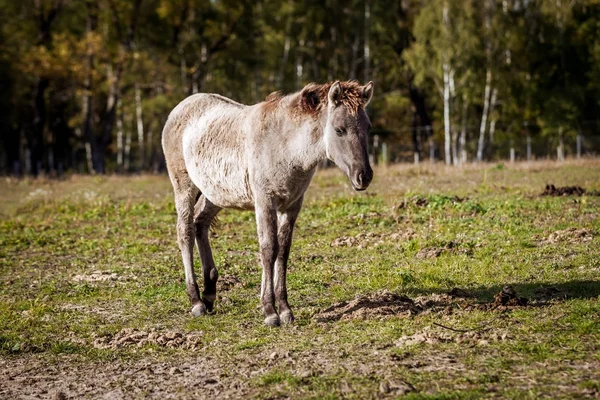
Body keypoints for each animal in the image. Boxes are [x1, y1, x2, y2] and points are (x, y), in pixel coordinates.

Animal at [162, 79, 372, 326]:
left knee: (199, 223)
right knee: (184, 231)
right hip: (184, 187)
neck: (285, 146)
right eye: (339, 130)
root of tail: (180, 108)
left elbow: (283, 251)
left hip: (214, 193)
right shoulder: (265, 202)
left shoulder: (292, 206)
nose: (364, 176)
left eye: (368, 128)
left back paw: (210, 294)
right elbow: (268, 249)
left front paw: (285, 310)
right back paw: (196, 301)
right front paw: (270, 312)